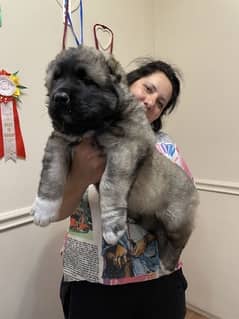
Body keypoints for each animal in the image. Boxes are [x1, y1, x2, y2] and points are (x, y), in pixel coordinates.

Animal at [32, 46, 200, 272]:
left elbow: (109, 185)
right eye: (56, 79)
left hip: (176, 220)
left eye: (87, 80)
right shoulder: (59, 142)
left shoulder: (124, 148)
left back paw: (166, 264)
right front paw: (44, 207)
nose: (59, 97)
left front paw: (111, 227)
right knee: (159, 234)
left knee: (177, 243)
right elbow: (51, 174)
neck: (94, 125)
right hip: (151, 219)